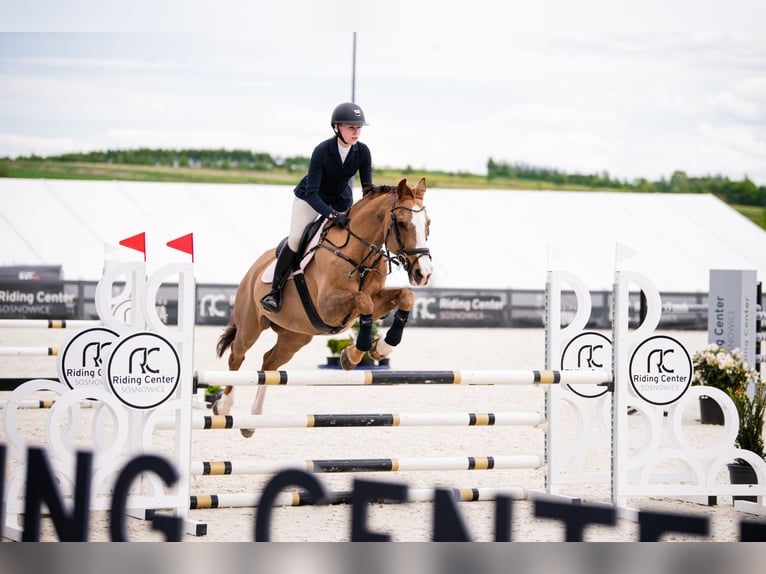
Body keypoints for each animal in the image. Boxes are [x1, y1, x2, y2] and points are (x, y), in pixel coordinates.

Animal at [213, 178, 436, 438]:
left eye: (428, 223)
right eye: (401, 223)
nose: (423, 274)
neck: (360, 254)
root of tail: (254, 268)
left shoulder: (374, 301)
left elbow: (404, 297)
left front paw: (378, 348)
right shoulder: (328, 307)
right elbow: (364, 300)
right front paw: (354, 354)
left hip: (295, 336)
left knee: (269, 364)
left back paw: (252, 420)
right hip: (250, 326)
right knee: (237, 356)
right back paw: (223, 405)